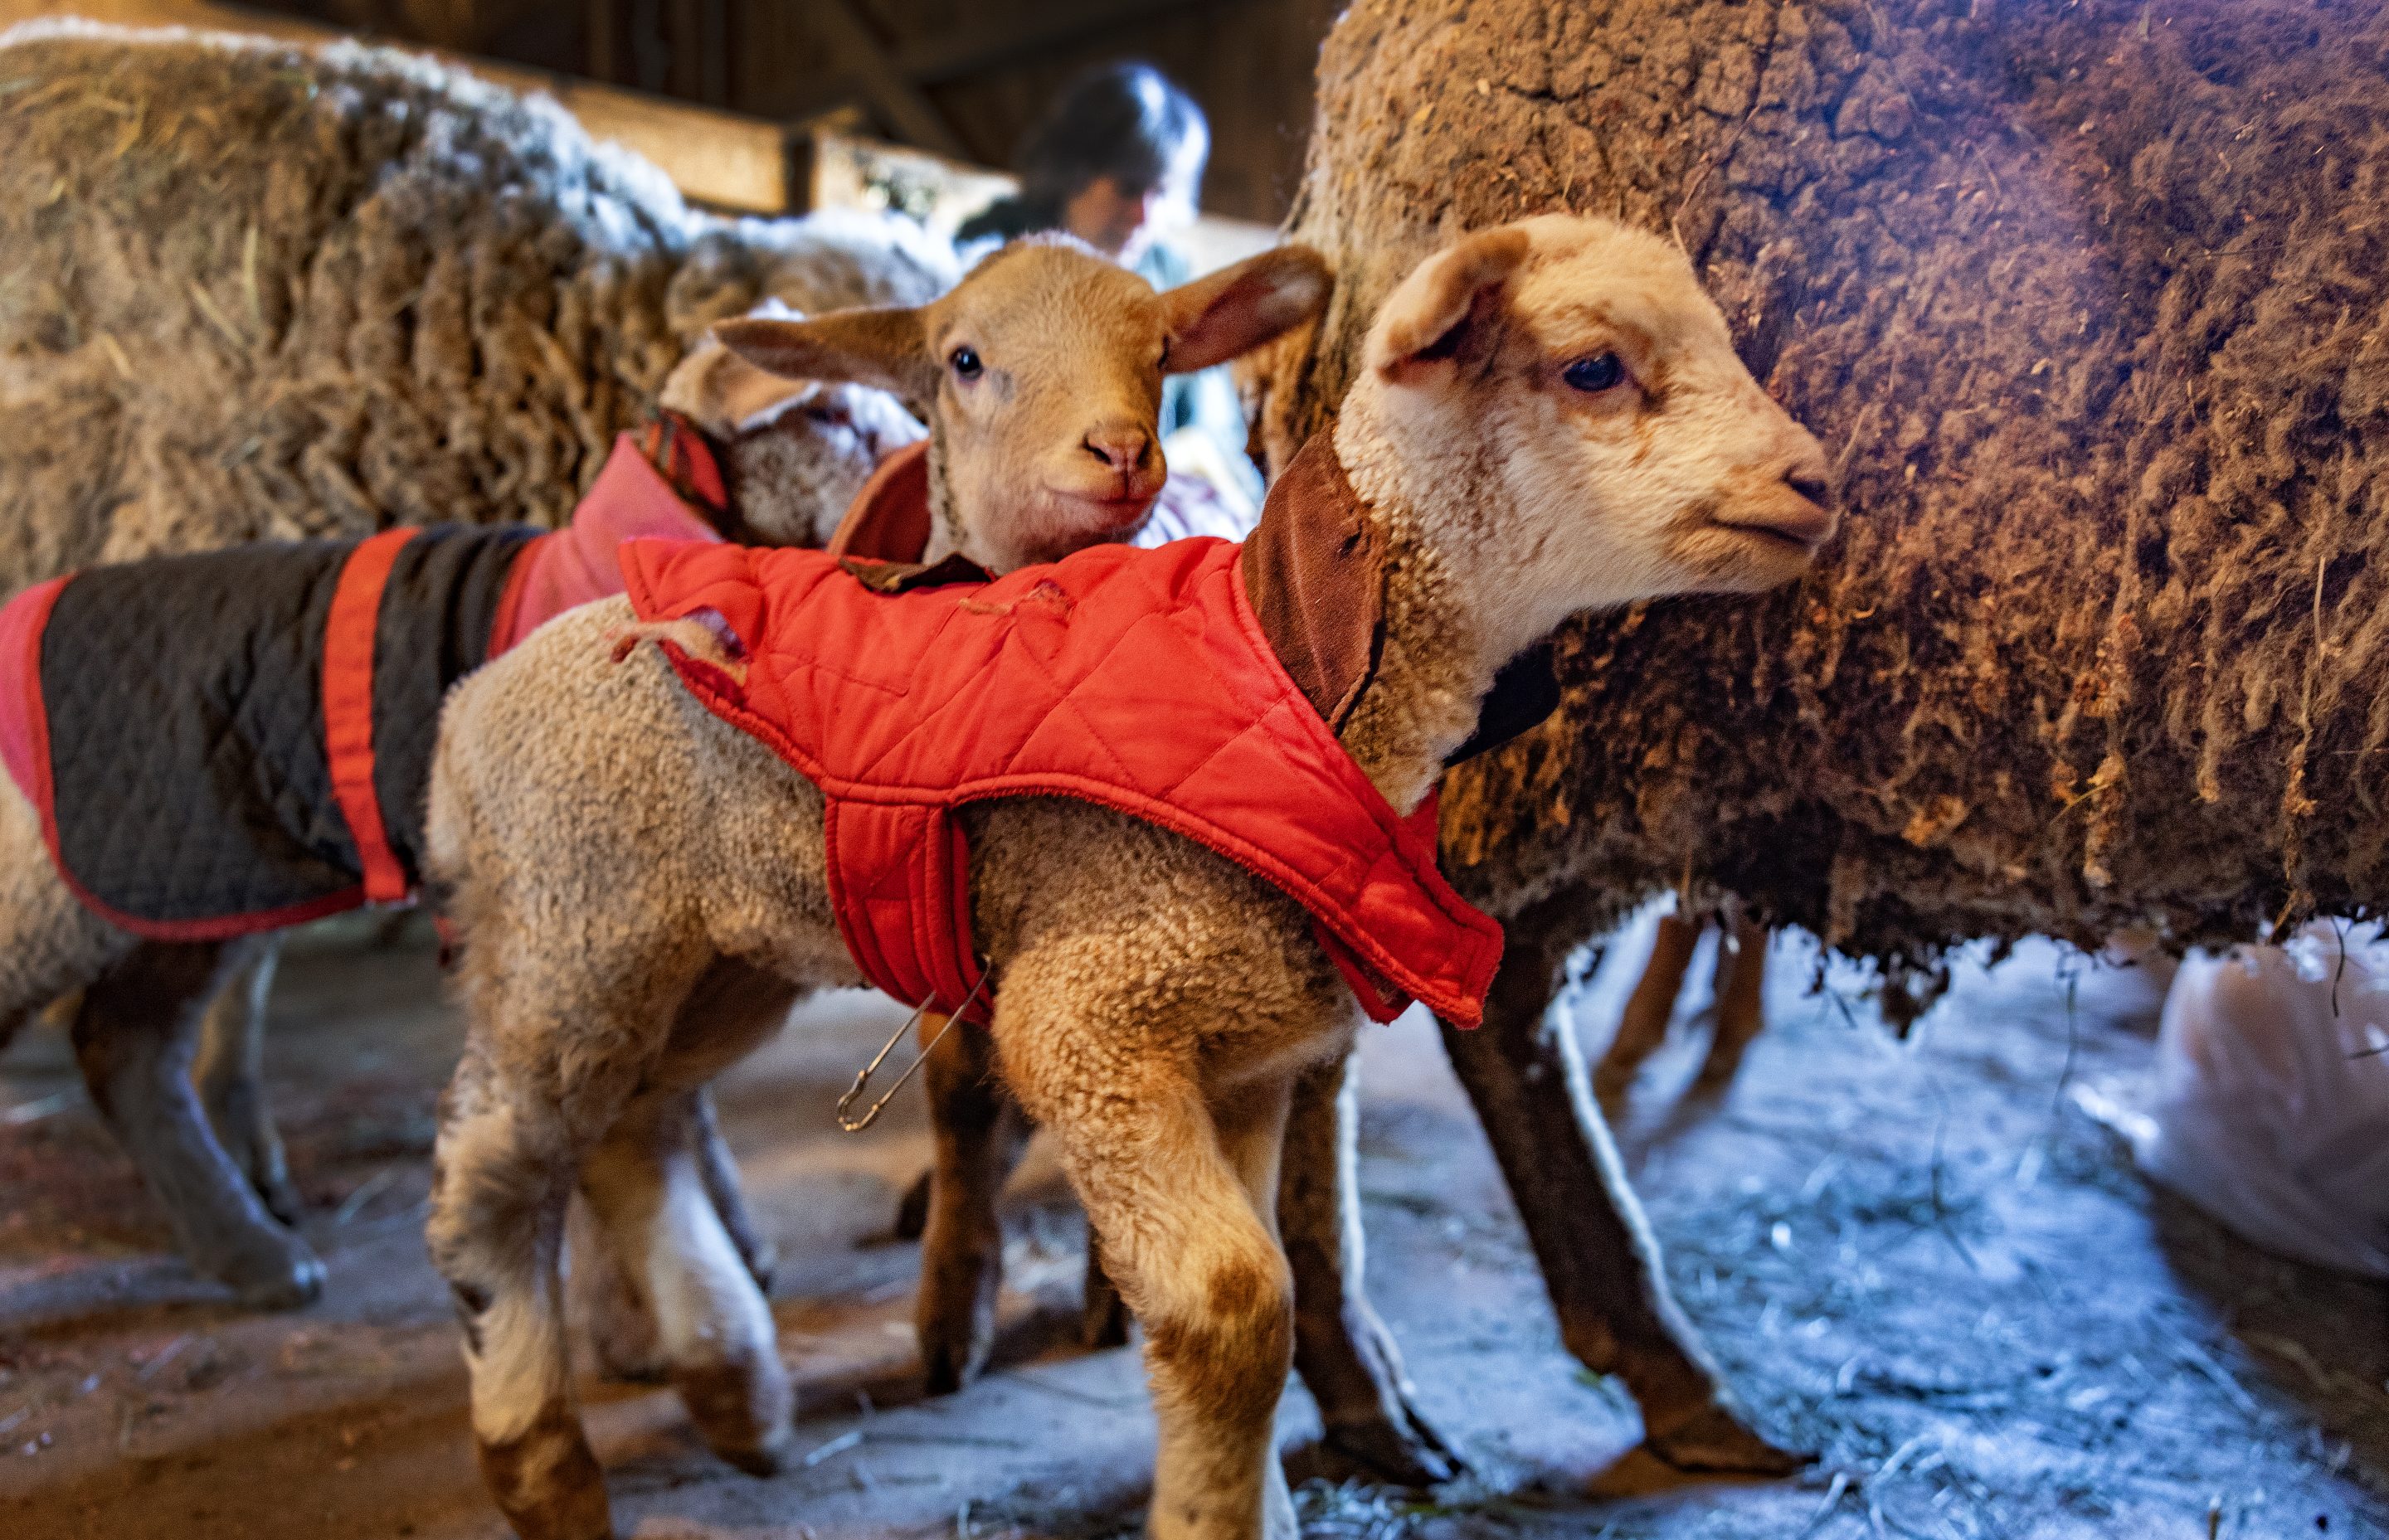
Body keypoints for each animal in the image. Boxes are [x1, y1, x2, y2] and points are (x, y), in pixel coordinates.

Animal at [415, 211, 1830, 1540]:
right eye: (1593, 367)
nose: (1815, 482)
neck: (1298, 675)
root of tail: (472, 702)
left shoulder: (1245, 1058)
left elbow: (1266, 1280)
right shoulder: (1091, 1019)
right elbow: (1238, 1311)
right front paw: (1217, 1513)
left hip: (706, 958)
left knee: (631, 1126)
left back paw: (731, 1388)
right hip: (573, 924)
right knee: (495, 1178)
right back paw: (544, 1467)